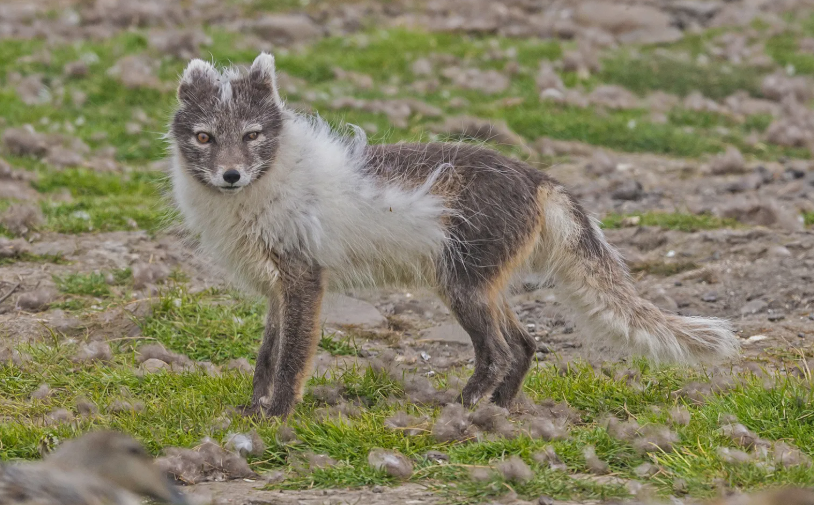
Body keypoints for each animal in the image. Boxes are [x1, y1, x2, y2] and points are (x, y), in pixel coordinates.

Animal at [167, 53, 740, 418]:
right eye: (204, 137)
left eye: (251, 136)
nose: (230, 175)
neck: (269, 181)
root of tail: (541, 180)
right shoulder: (276, 287)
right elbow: (266, 355)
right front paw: (251, 409)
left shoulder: (305, 277)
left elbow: (291, 359)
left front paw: (277, 416)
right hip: (485, 284)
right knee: (527, 344)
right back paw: (501, 410)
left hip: (461, 284)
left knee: (500, 351)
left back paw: (461, 410)